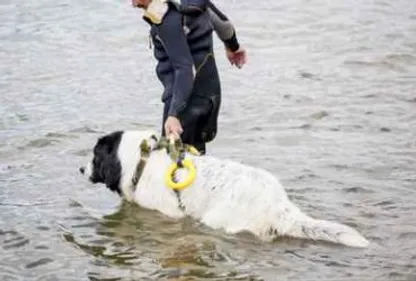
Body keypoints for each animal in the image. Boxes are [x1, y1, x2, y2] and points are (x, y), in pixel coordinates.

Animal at [79, 130, 368, 247]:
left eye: (95, 156)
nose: (80, 169)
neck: (141, 160)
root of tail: (278, 205)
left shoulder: (166, 214)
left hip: (219, 220)